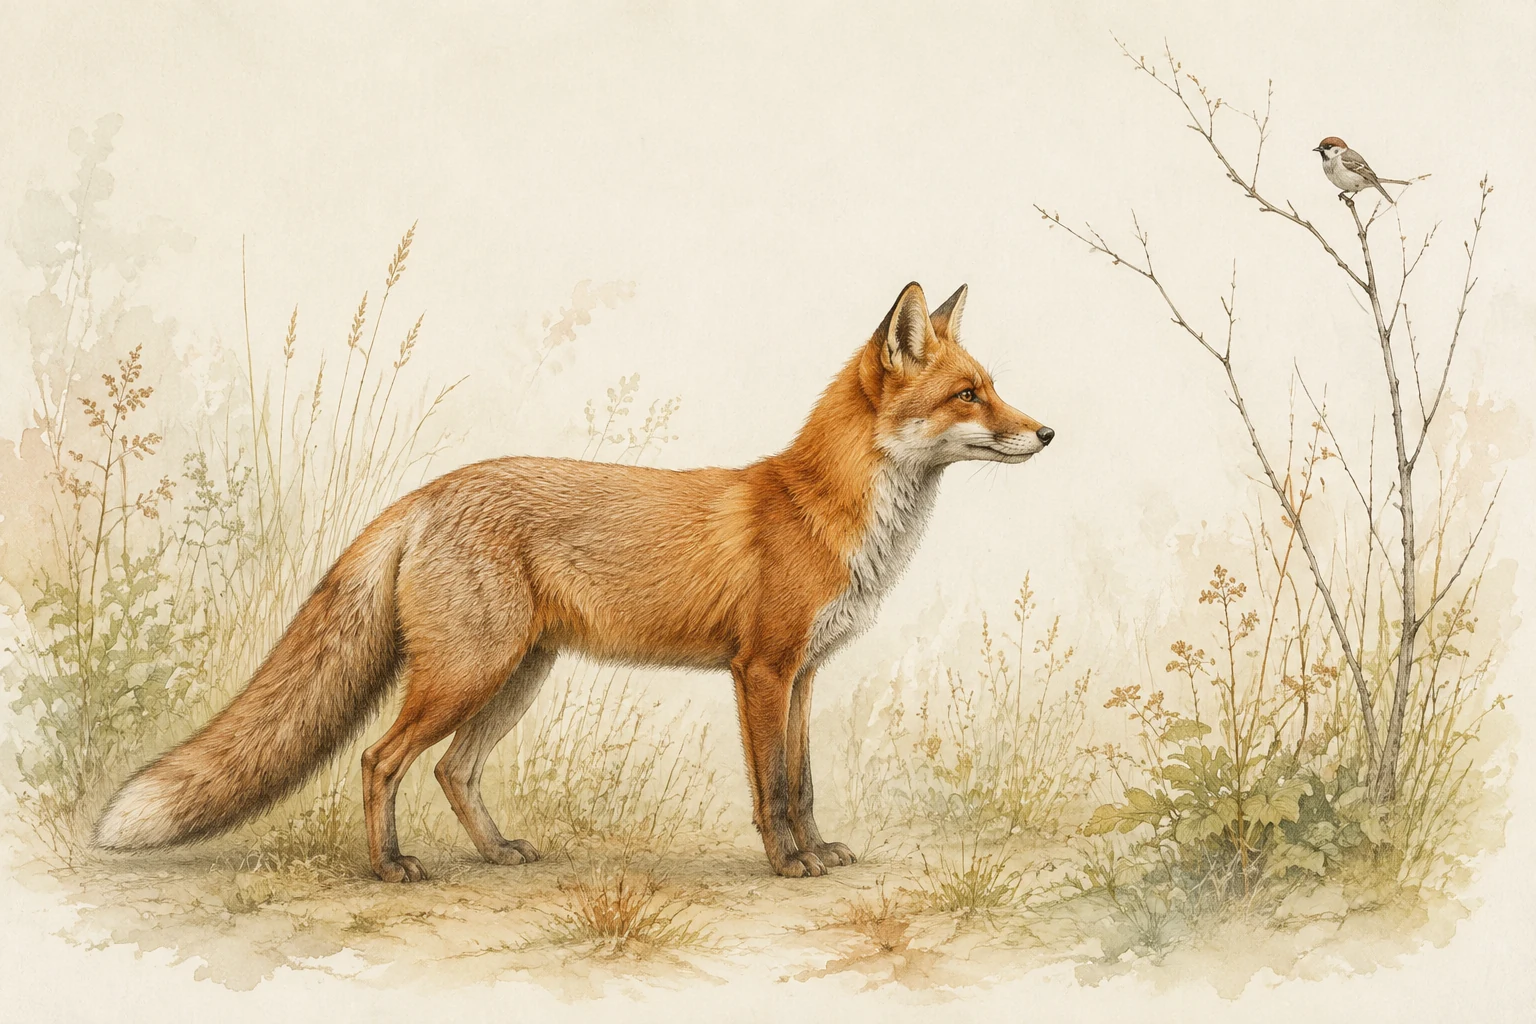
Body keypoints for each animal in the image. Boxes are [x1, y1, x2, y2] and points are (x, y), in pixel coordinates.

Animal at [93, 281, 1054, 882]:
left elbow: (807, 784)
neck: (826, 511)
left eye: (993, 387)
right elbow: (773, 788)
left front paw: (817, 853)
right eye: (970, 395)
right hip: (468, 672)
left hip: (516, 675)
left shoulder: (805, 675)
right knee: (379, 759)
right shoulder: (761, 672)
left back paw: (495, 854)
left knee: (452, 771)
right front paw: (787, 864)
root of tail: (429, 492)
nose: (1047, 433)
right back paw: (390, 867)